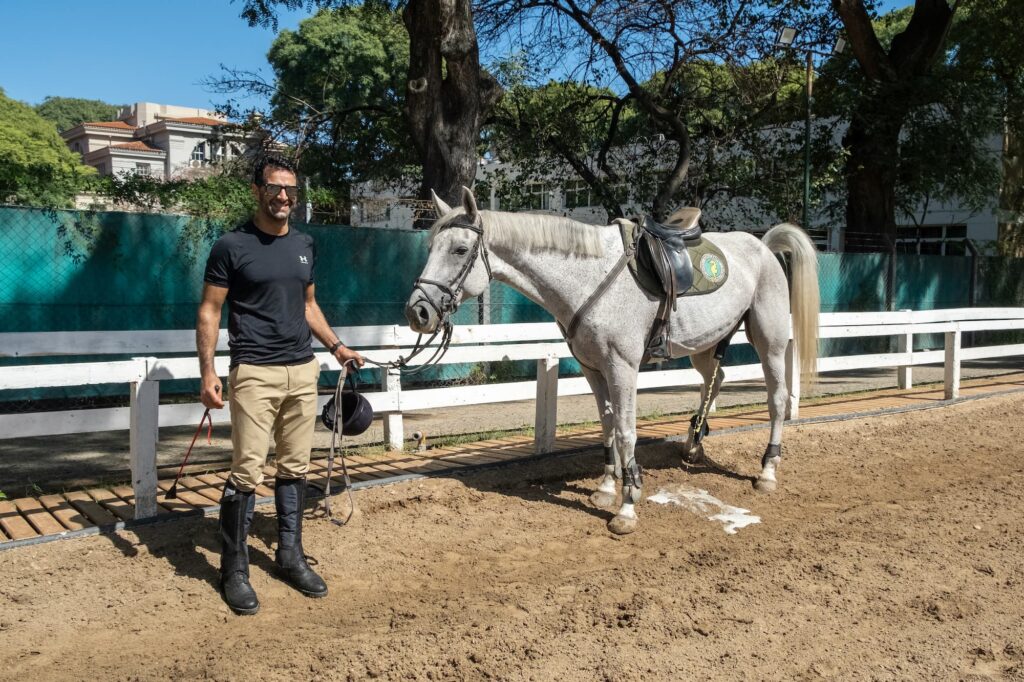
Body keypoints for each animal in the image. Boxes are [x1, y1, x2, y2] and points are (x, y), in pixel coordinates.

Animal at [403, 188, 819, 532]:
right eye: (430, 246)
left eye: (459, 250)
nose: (418, 312)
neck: (588, 276)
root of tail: (762, 245)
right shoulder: (593, 368)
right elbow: (606, 425)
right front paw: (606, 487)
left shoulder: (622, 368)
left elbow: (625, 430)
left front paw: (628, 506)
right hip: (703, 345)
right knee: (715, 381)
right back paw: (693, 444)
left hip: (770, 341)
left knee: (777, 400)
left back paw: (767, 471)